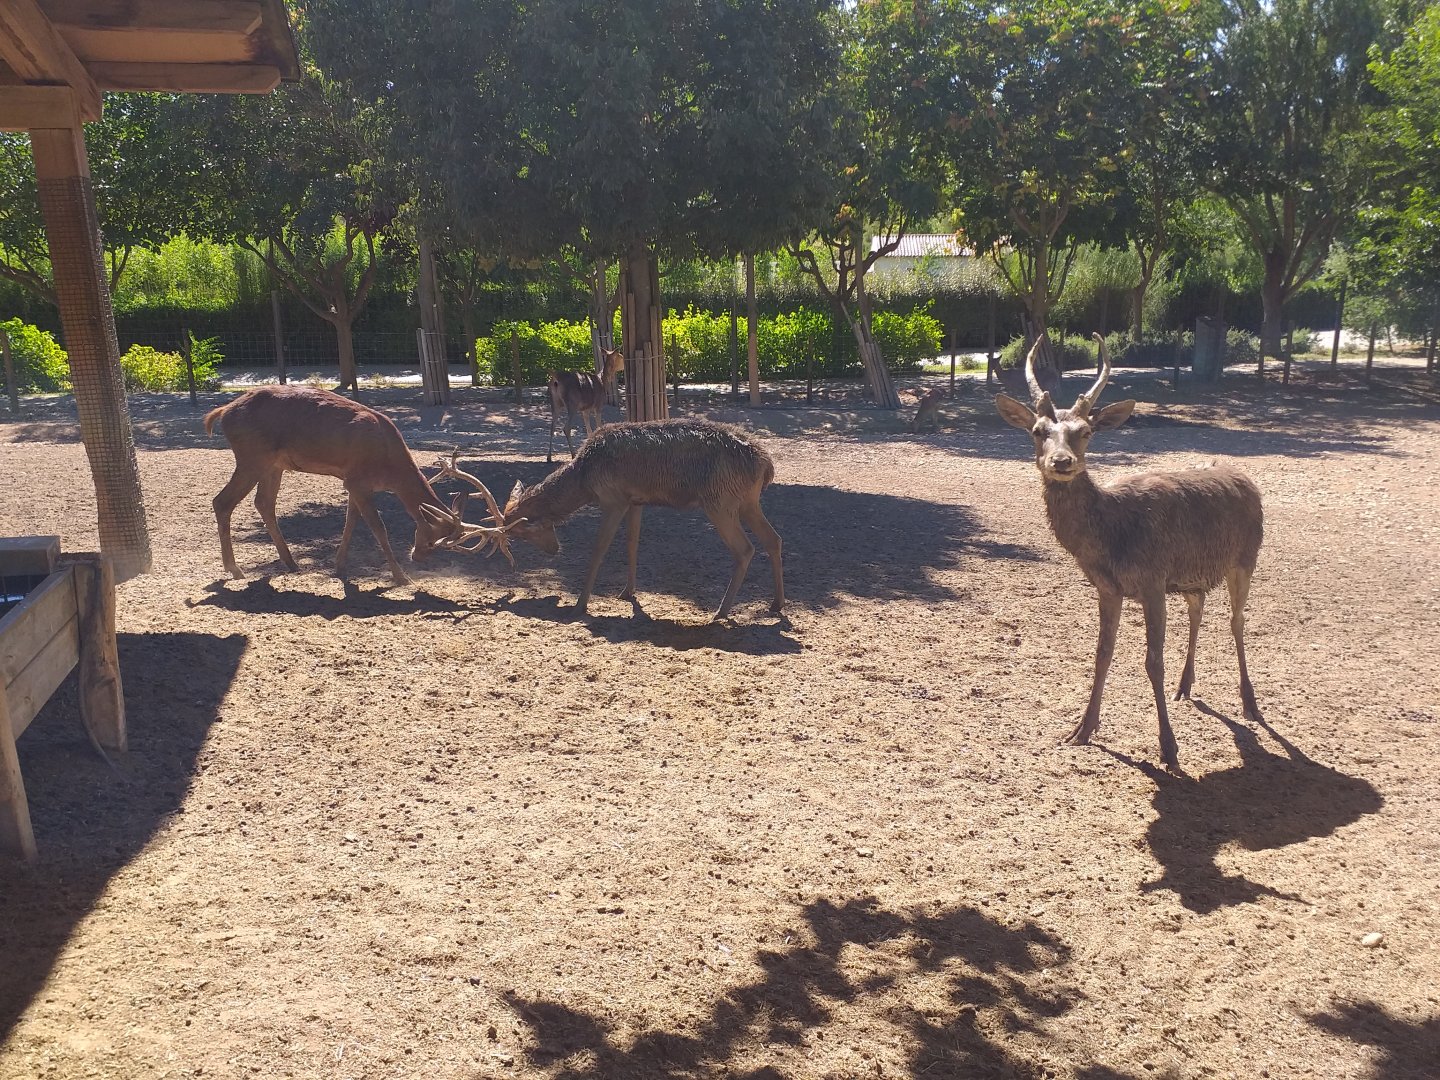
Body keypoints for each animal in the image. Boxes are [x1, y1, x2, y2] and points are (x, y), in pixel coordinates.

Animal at [204, 385, 502, 587]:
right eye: (430, 540)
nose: (417, 557)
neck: (389, 468)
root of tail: (222, 412)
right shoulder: (358, 480)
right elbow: (378, 528)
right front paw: (400, 576)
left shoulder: (352, 481)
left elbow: (351, 521)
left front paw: (339, 567)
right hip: (251, 457)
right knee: (222, 501)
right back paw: (234, 569)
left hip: (273, 465)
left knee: (263, 503)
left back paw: (291, 563)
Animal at [426, 418, 784, 622]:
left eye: (524, 531)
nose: (554, 549)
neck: (585, 479)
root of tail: (766, 465)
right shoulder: (635, 500)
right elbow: (632, 543)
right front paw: (627, 593)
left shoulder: (612, 498)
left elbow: (599, 549)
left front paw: (579, 605)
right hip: (747, 501)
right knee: (774, 539)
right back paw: (776, 605)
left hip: (719, 500)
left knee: (745, 549)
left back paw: (720, 612)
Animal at [994, 333, 1264, 771]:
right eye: (1037, 430)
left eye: (1086, 431)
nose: (1062, 461)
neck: (1113, 534)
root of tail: (1246, 479)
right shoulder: (1109, 587)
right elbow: (1102, 652)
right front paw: (1081, 729)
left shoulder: (1153, 580)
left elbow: (1153, 661)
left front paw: (1169, 748)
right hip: (1191, 577)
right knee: (1199, 608)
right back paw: (1185, 687)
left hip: (1246, 558)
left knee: (1237, 621)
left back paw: (1250, 703)